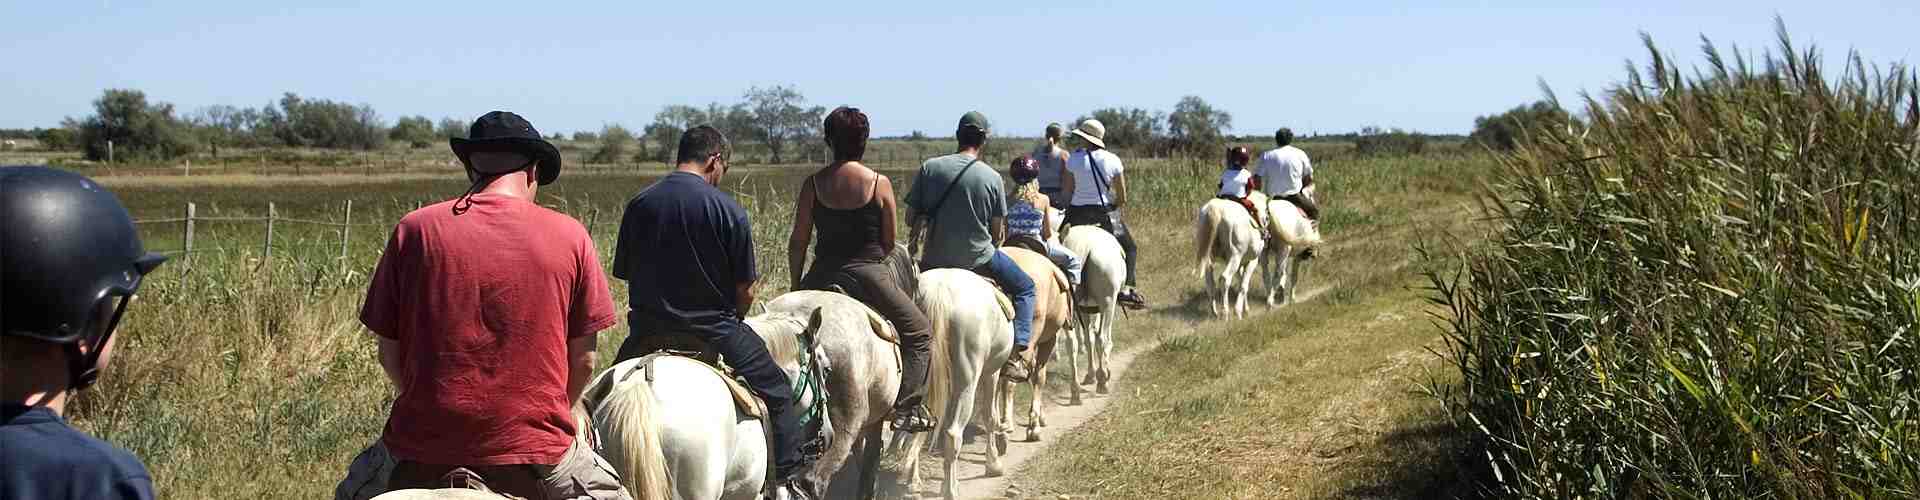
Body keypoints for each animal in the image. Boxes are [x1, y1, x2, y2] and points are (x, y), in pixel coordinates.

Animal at [1052, 225, 1121, 400]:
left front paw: (1091, 374)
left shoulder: (1083, 308)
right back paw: (1102, 381)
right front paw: (1102, 372)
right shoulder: (1101, 307)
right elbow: (1100, 339)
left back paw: (1075, 390)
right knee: (1102, 338)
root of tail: (1086, 248)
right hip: (1107, 302)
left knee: (1072, 343)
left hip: (1069, 307)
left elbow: (1088, 338)